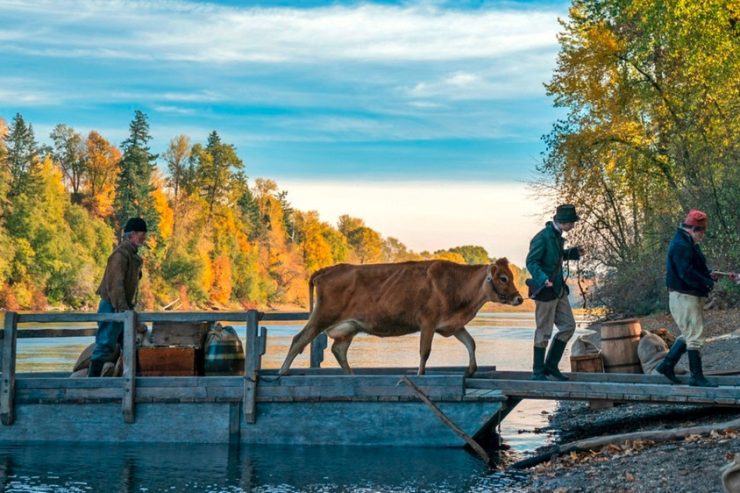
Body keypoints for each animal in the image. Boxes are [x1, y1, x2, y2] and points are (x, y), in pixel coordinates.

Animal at [278, 258, 523, 377]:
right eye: (503, 278)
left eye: (510, 276)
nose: (520, 298)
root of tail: (329, 269)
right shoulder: (428, 321)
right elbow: (425, 351)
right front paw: (420, 374)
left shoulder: (452, 325)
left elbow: (471, 343)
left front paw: (471, 370)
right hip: (322, 315)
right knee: (299, 339)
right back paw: (282, 372)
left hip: (349, 327)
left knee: (338, 350)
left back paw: (351, 375)